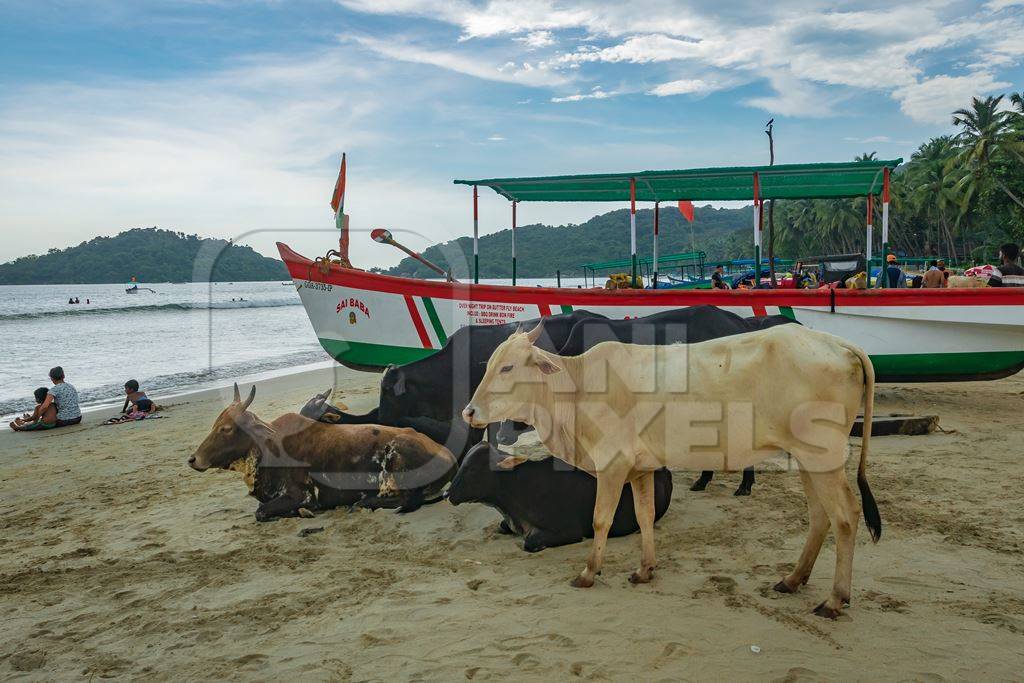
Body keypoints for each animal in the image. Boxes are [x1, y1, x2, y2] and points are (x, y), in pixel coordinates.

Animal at [187, 382, 456, 520]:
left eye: (226, 428)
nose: (193, 459)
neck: (267, 449)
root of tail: (450, 457)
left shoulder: (301, 495)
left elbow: (261, 512)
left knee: (406, 499)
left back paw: (362, 502)